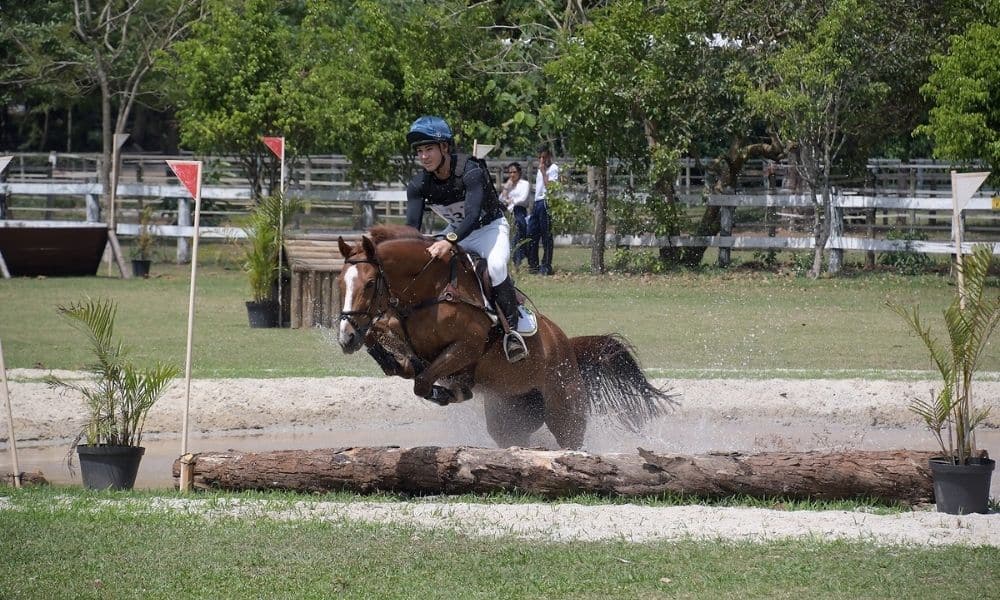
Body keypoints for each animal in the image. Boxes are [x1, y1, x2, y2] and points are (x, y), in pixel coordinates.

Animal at [334, 225, 672, 450]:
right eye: (340, 283)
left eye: (370, 283)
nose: (346, 338)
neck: (429, 291)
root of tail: (568, 348)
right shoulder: (403, 334)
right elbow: (394, 353)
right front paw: (388, 358)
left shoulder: (467, 346)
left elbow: (422, 381)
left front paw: (451, 392)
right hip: (511, 415)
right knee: (515, 438)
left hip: (565, 410)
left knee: (572, 443)